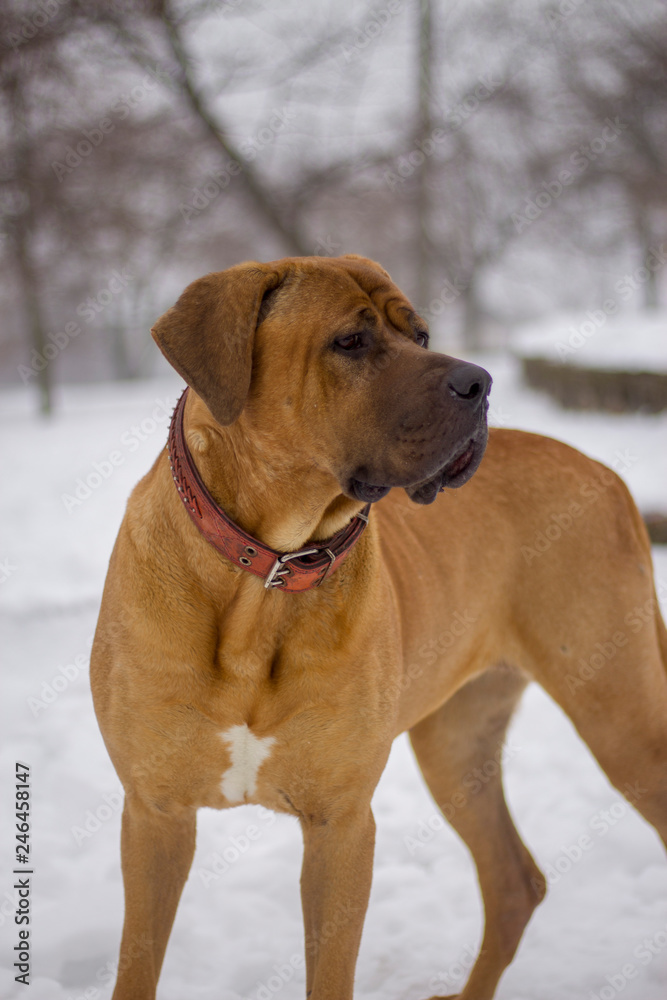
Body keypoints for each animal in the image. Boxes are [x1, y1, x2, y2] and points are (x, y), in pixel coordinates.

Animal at [91, 256, 667, 1000]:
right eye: (351, 342)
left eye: (419, 334)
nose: (479, 382)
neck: (265, 575)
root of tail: (604, 472)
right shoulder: (154, 814)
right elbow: (137, 965)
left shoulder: (339, 825)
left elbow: (330, 971)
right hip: (456, 742)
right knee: (514, 880)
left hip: (623, 720)